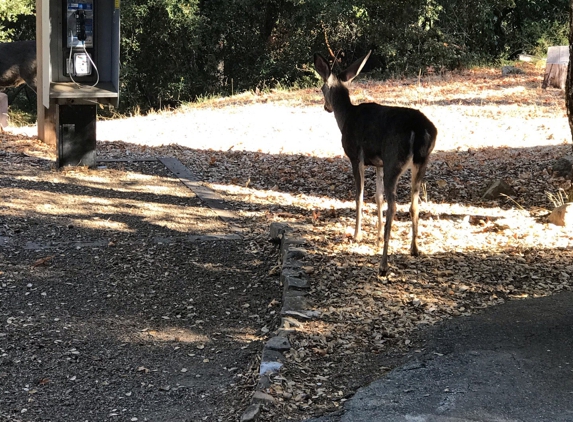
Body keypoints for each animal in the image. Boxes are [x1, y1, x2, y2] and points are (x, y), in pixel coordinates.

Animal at [316, 51, 436, 276]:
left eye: (320, 88)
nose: (326, 107)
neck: (346, 118)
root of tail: (420, 130)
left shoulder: (356, 156)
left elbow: (360, 195)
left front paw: (357, 235)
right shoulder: (378, 163)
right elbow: (377, 197)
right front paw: (378, 236)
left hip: (393, 158)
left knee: (394, 206)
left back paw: (383, 264)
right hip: (422, 161)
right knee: (413, 203)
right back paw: (415, 249)